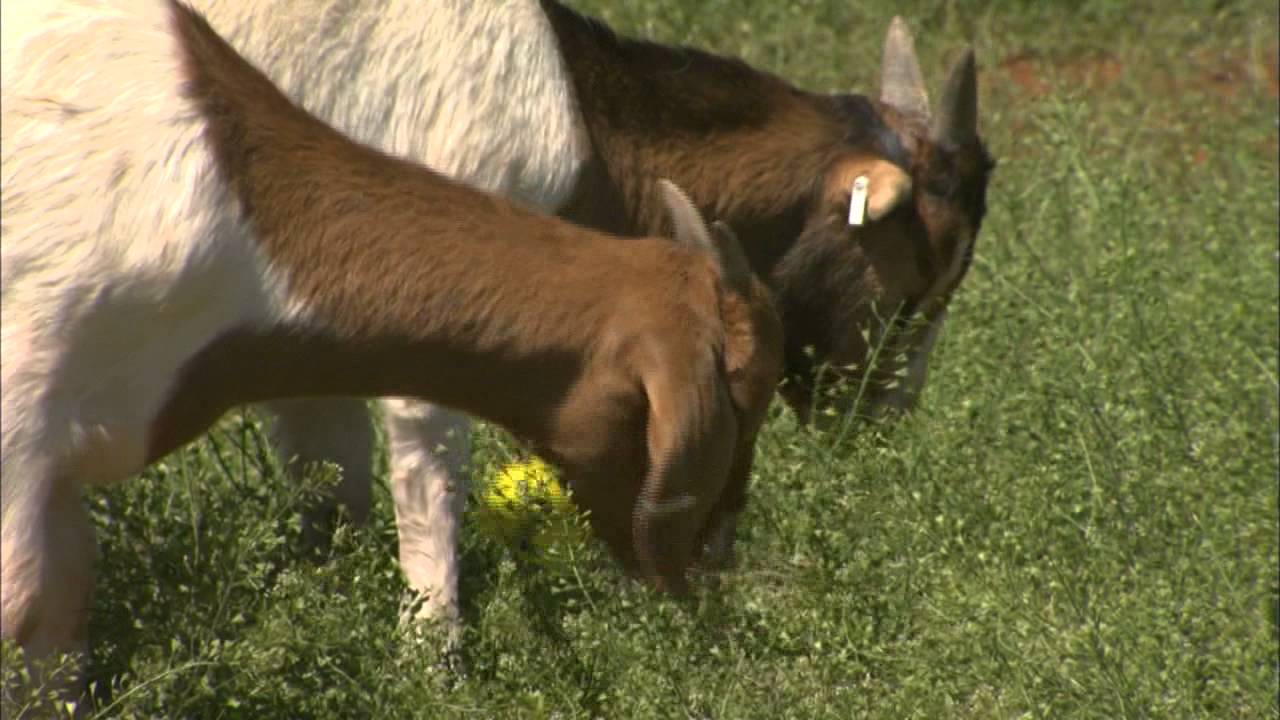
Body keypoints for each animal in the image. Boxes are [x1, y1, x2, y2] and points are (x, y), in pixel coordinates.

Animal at [5, 0, 994, 655]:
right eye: (918, 275)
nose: (882, 424)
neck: (586, 117)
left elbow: (330, 487)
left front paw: (325, 608)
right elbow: (427, 479)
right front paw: (434, 654)